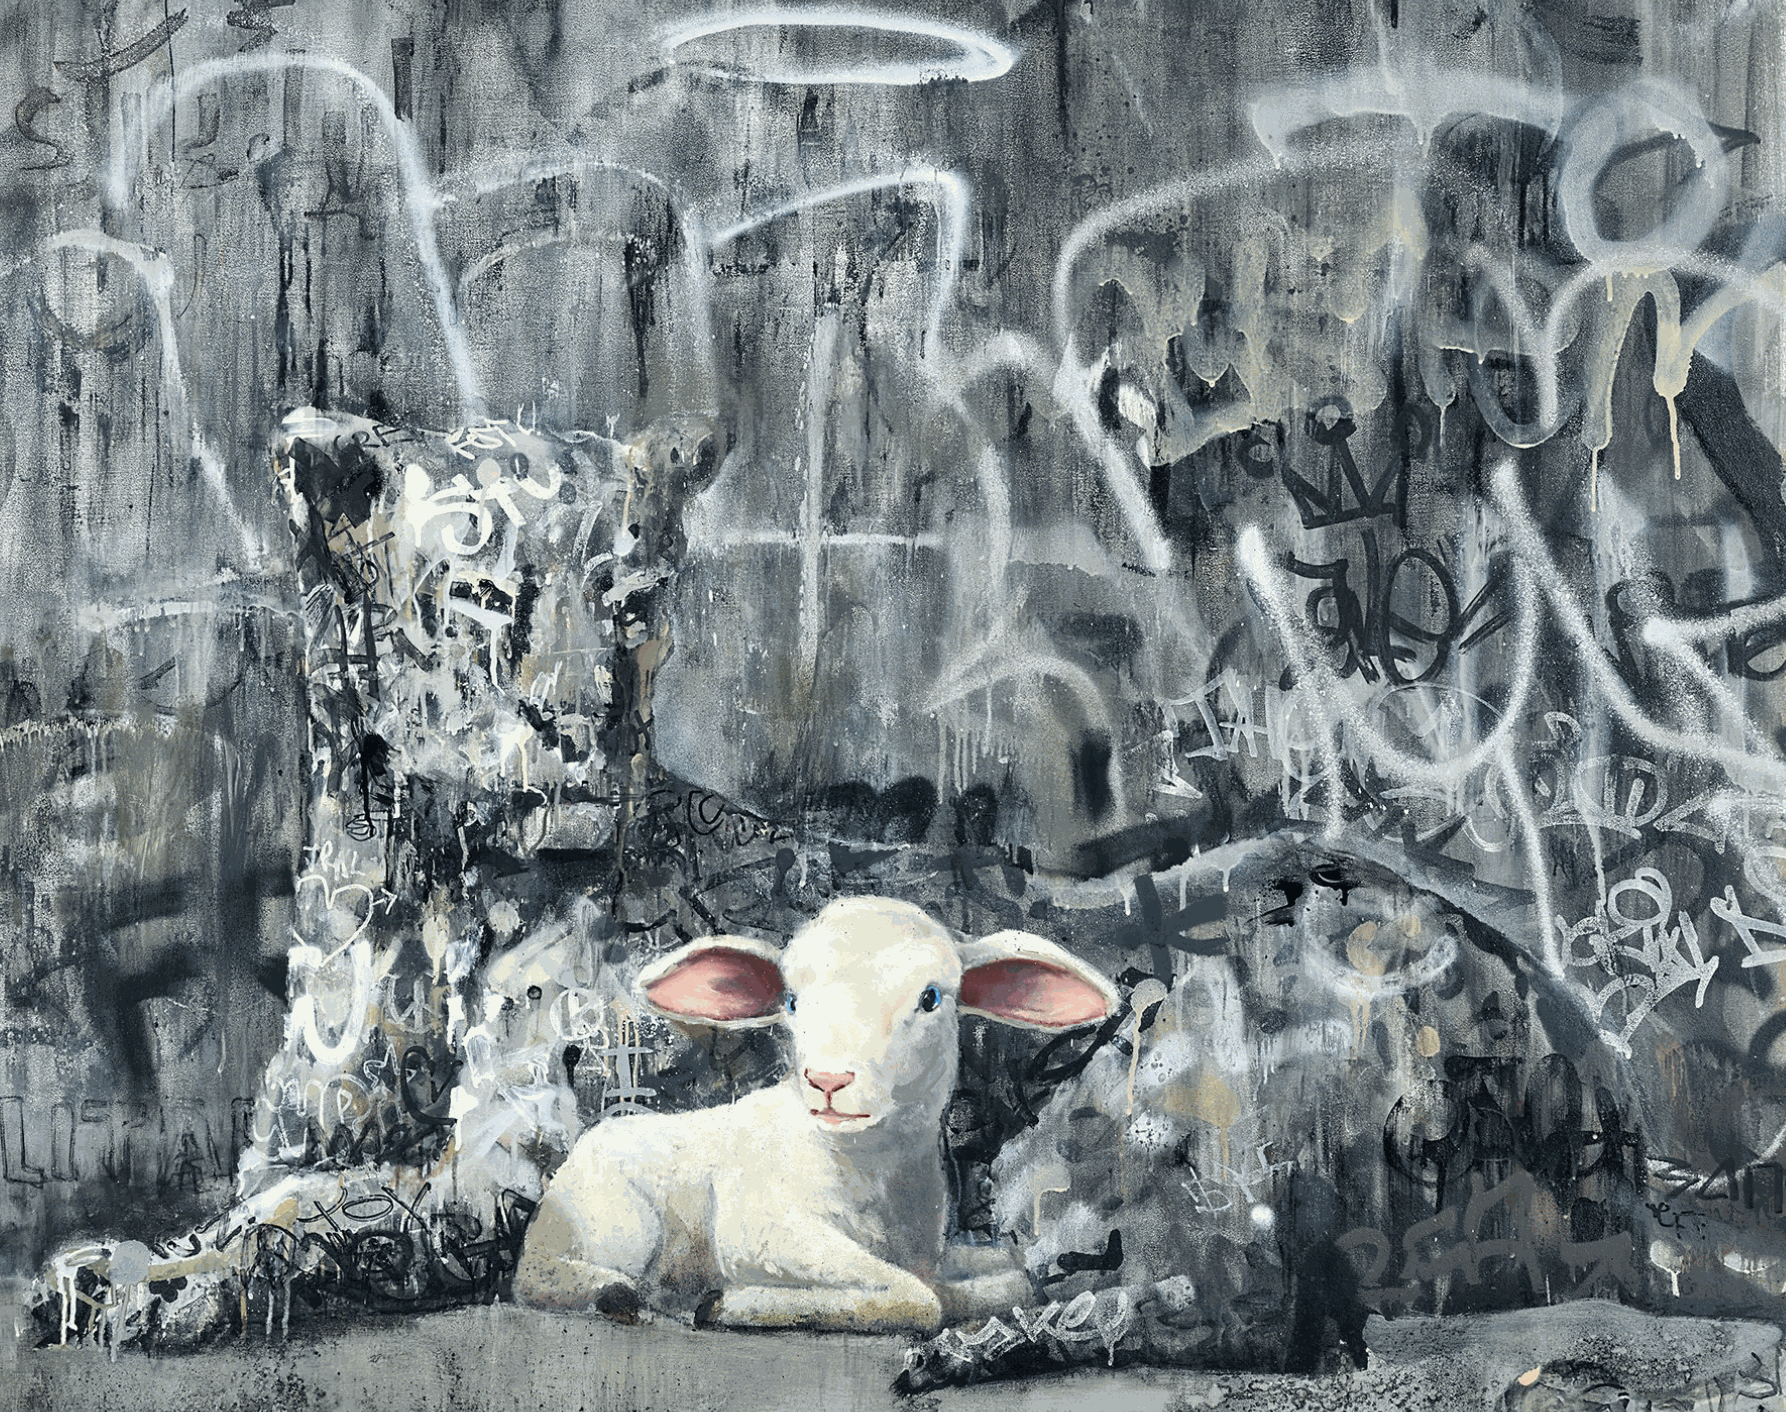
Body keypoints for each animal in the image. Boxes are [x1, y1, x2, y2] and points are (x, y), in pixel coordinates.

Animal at [514, 895, 1117, 1332]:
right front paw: (724, 1303)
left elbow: (1011, 1279)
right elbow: (921, 1300)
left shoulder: (929, 1253)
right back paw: (617, 1294)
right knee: (534, 1276)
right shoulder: (759, 1231)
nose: (828, 1081)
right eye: (792, 1001)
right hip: (616, 1224)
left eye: (929, 998)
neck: (867, 1173)